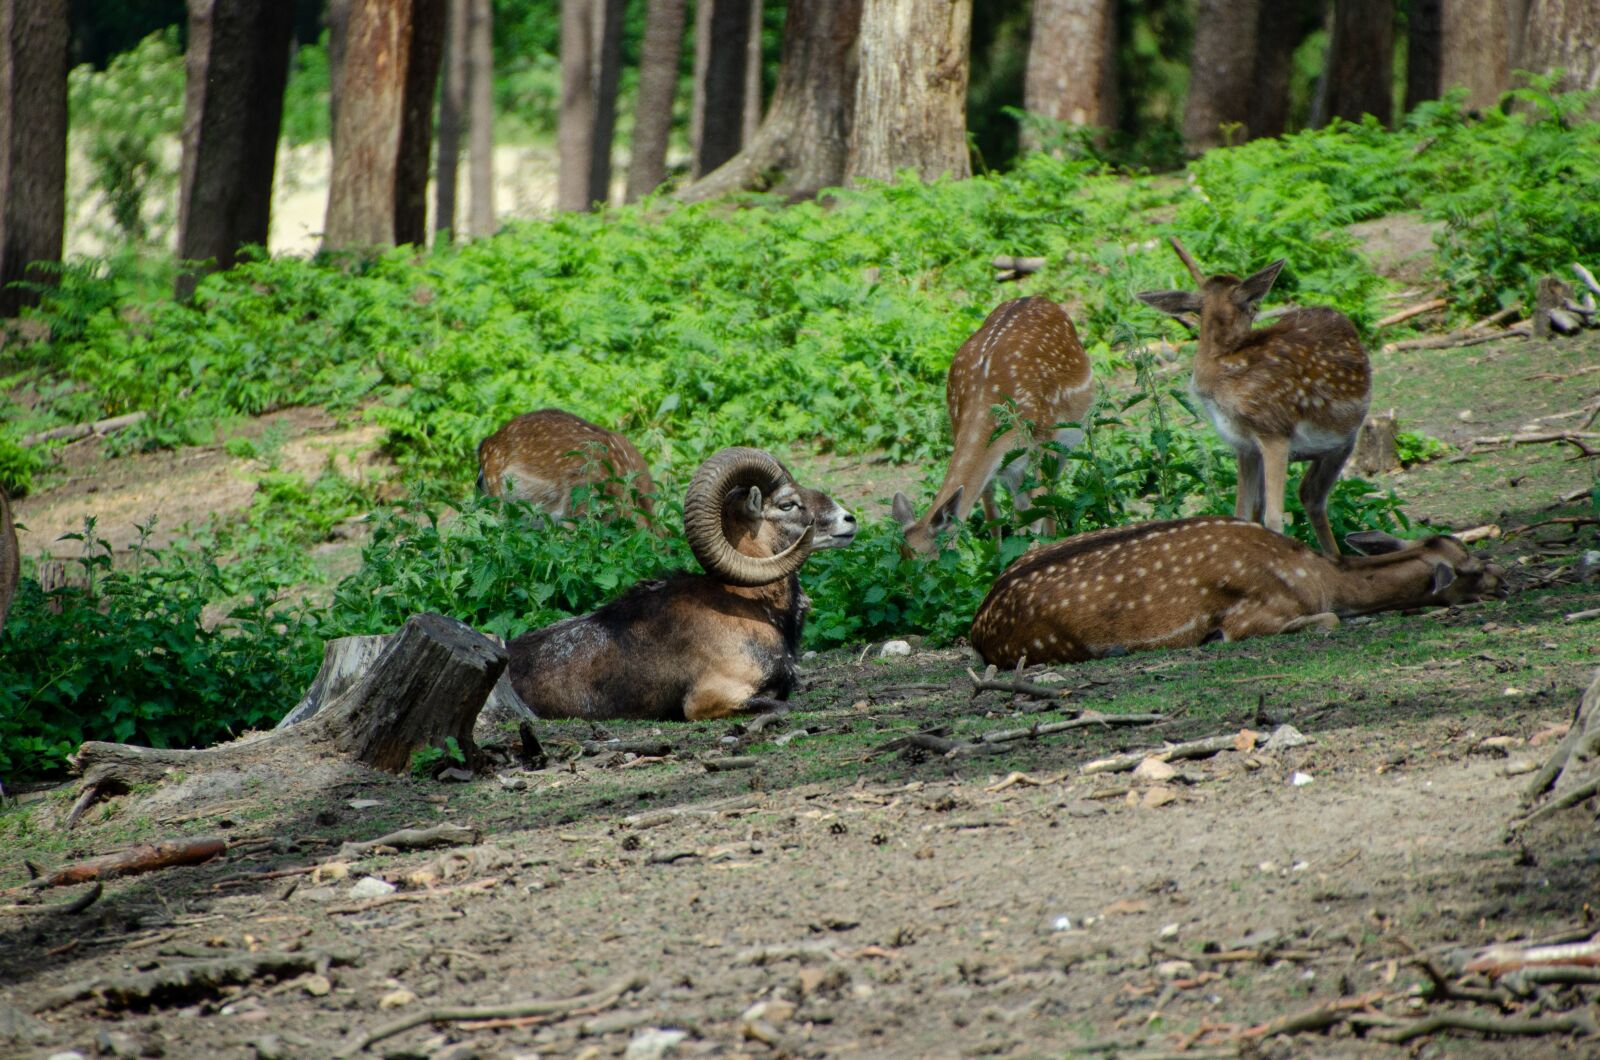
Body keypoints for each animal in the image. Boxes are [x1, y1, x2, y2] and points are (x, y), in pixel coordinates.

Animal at [892, 296, 1094, 554]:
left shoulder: (1042, 441)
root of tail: (1037, 297)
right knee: (1022, 506)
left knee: (1048, 496)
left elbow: (1037, 513)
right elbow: (993, 518)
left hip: (1064, 442)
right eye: (901, 557)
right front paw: (996, 558)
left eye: (929, 558)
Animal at [969, 516, 1506, 667]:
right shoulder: (1251, 615)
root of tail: (978, 624)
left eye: (1458, 541)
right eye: (1468, 570)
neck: (1319, 578)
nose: (1502, 581)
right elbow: (1329, 620)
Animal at [1136, 238, 1371, 555]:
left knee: (1310, 494)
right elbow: (1244, 513)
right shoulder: (1244, 445)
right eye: (1254, 304)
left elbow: (1272, 517)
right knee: (1309, 493)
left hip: (1343, 437)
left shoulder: (1274, 432)